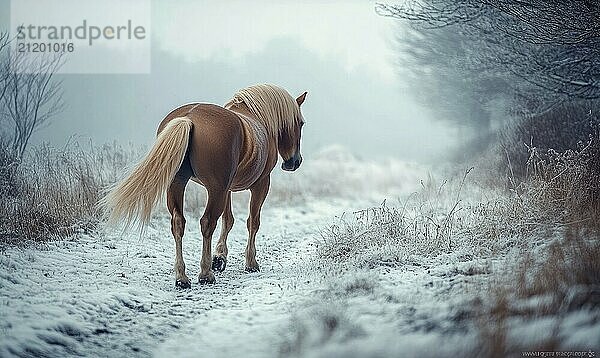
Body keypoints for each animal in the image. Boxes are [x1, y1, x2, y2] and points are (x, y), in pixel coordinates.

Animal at [101, 84, 308, 288]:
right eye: (300, 123)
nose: (294, 162)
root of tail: (189, 118)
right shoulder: (260, 184)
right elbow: (252, 222)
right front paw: (250, 262)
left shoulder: (227, 189)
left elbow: (228, 220)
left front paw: (220, 258)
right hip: (216, 190)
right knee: (207, 222)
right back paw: (205, 274)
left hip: (179, 184)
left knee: (178, 222)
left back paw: (182, 278)